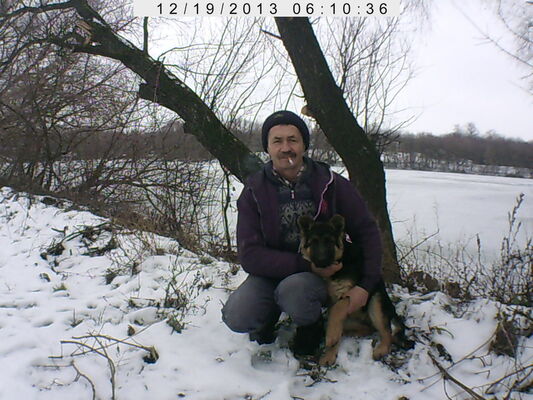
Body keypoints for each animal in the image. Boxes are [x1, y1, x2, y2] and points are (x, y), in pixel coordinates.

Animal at [298, 214, 409, 366]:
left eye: (329, 242)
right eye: (313, 242)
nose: (321, 261)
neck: (340, 260)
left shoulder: (349, 294)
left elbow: (338, 309)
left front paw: (330, 337)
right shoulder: (331, 300)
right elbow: (334, 318)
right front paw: (329, 355)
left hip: (375, 302)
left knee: (387, 332)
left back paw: (381, 349)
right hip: (353, 320)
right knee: (365, 329)